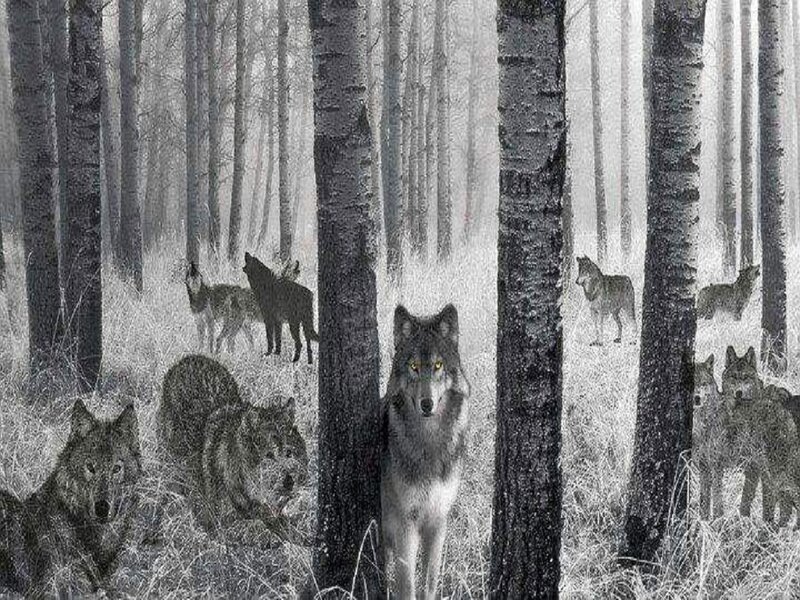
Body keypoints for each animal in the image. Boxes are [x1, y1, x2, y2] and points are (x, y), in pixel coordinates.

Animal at [381, 304, 470, 600]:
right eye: (414, 367)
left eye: (438, 366)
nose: (427, 403)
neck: (429, 443)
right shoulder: (405, 525)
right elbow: (407, 586)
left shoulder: (438, 520)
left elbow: (430, 582)